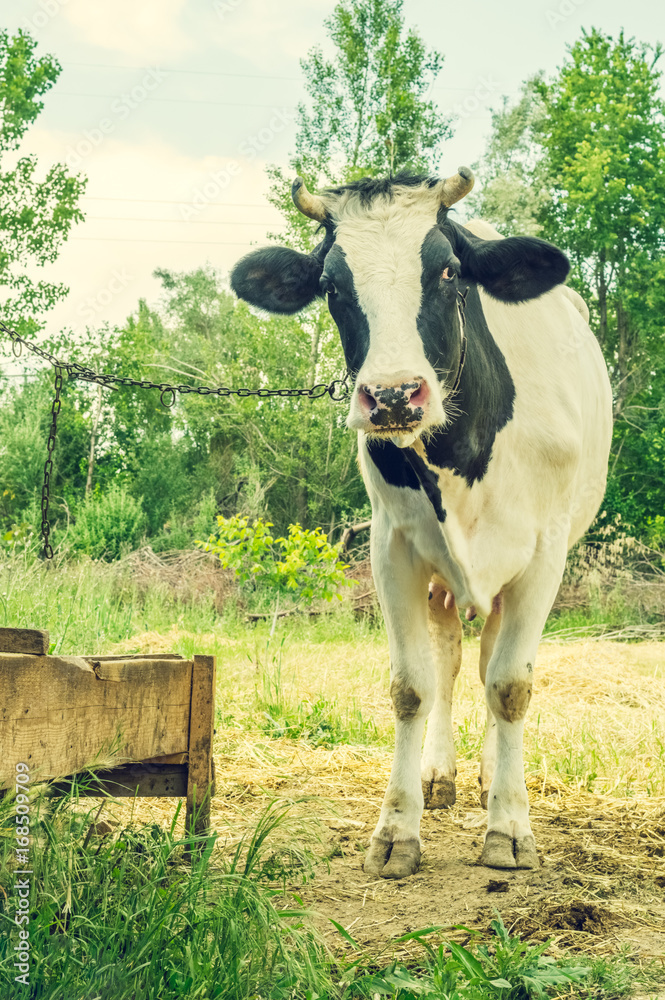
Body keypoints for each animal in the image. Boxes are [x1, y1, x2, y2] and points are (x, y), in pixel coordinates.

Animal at [230, 168, 612, 880]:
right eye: (332, 285)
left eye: (447, 271)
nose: (391, 396)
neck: (463, 448)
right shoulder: (393, 547)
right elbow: (413, 687)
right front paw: (396, 830)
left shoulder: (544, 552)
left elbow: (511, 685)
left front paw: (509, 827)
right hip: (439, 576)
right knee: (452, 659)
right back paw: (440, 772)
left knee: (489, 664)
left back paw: (491, 776)